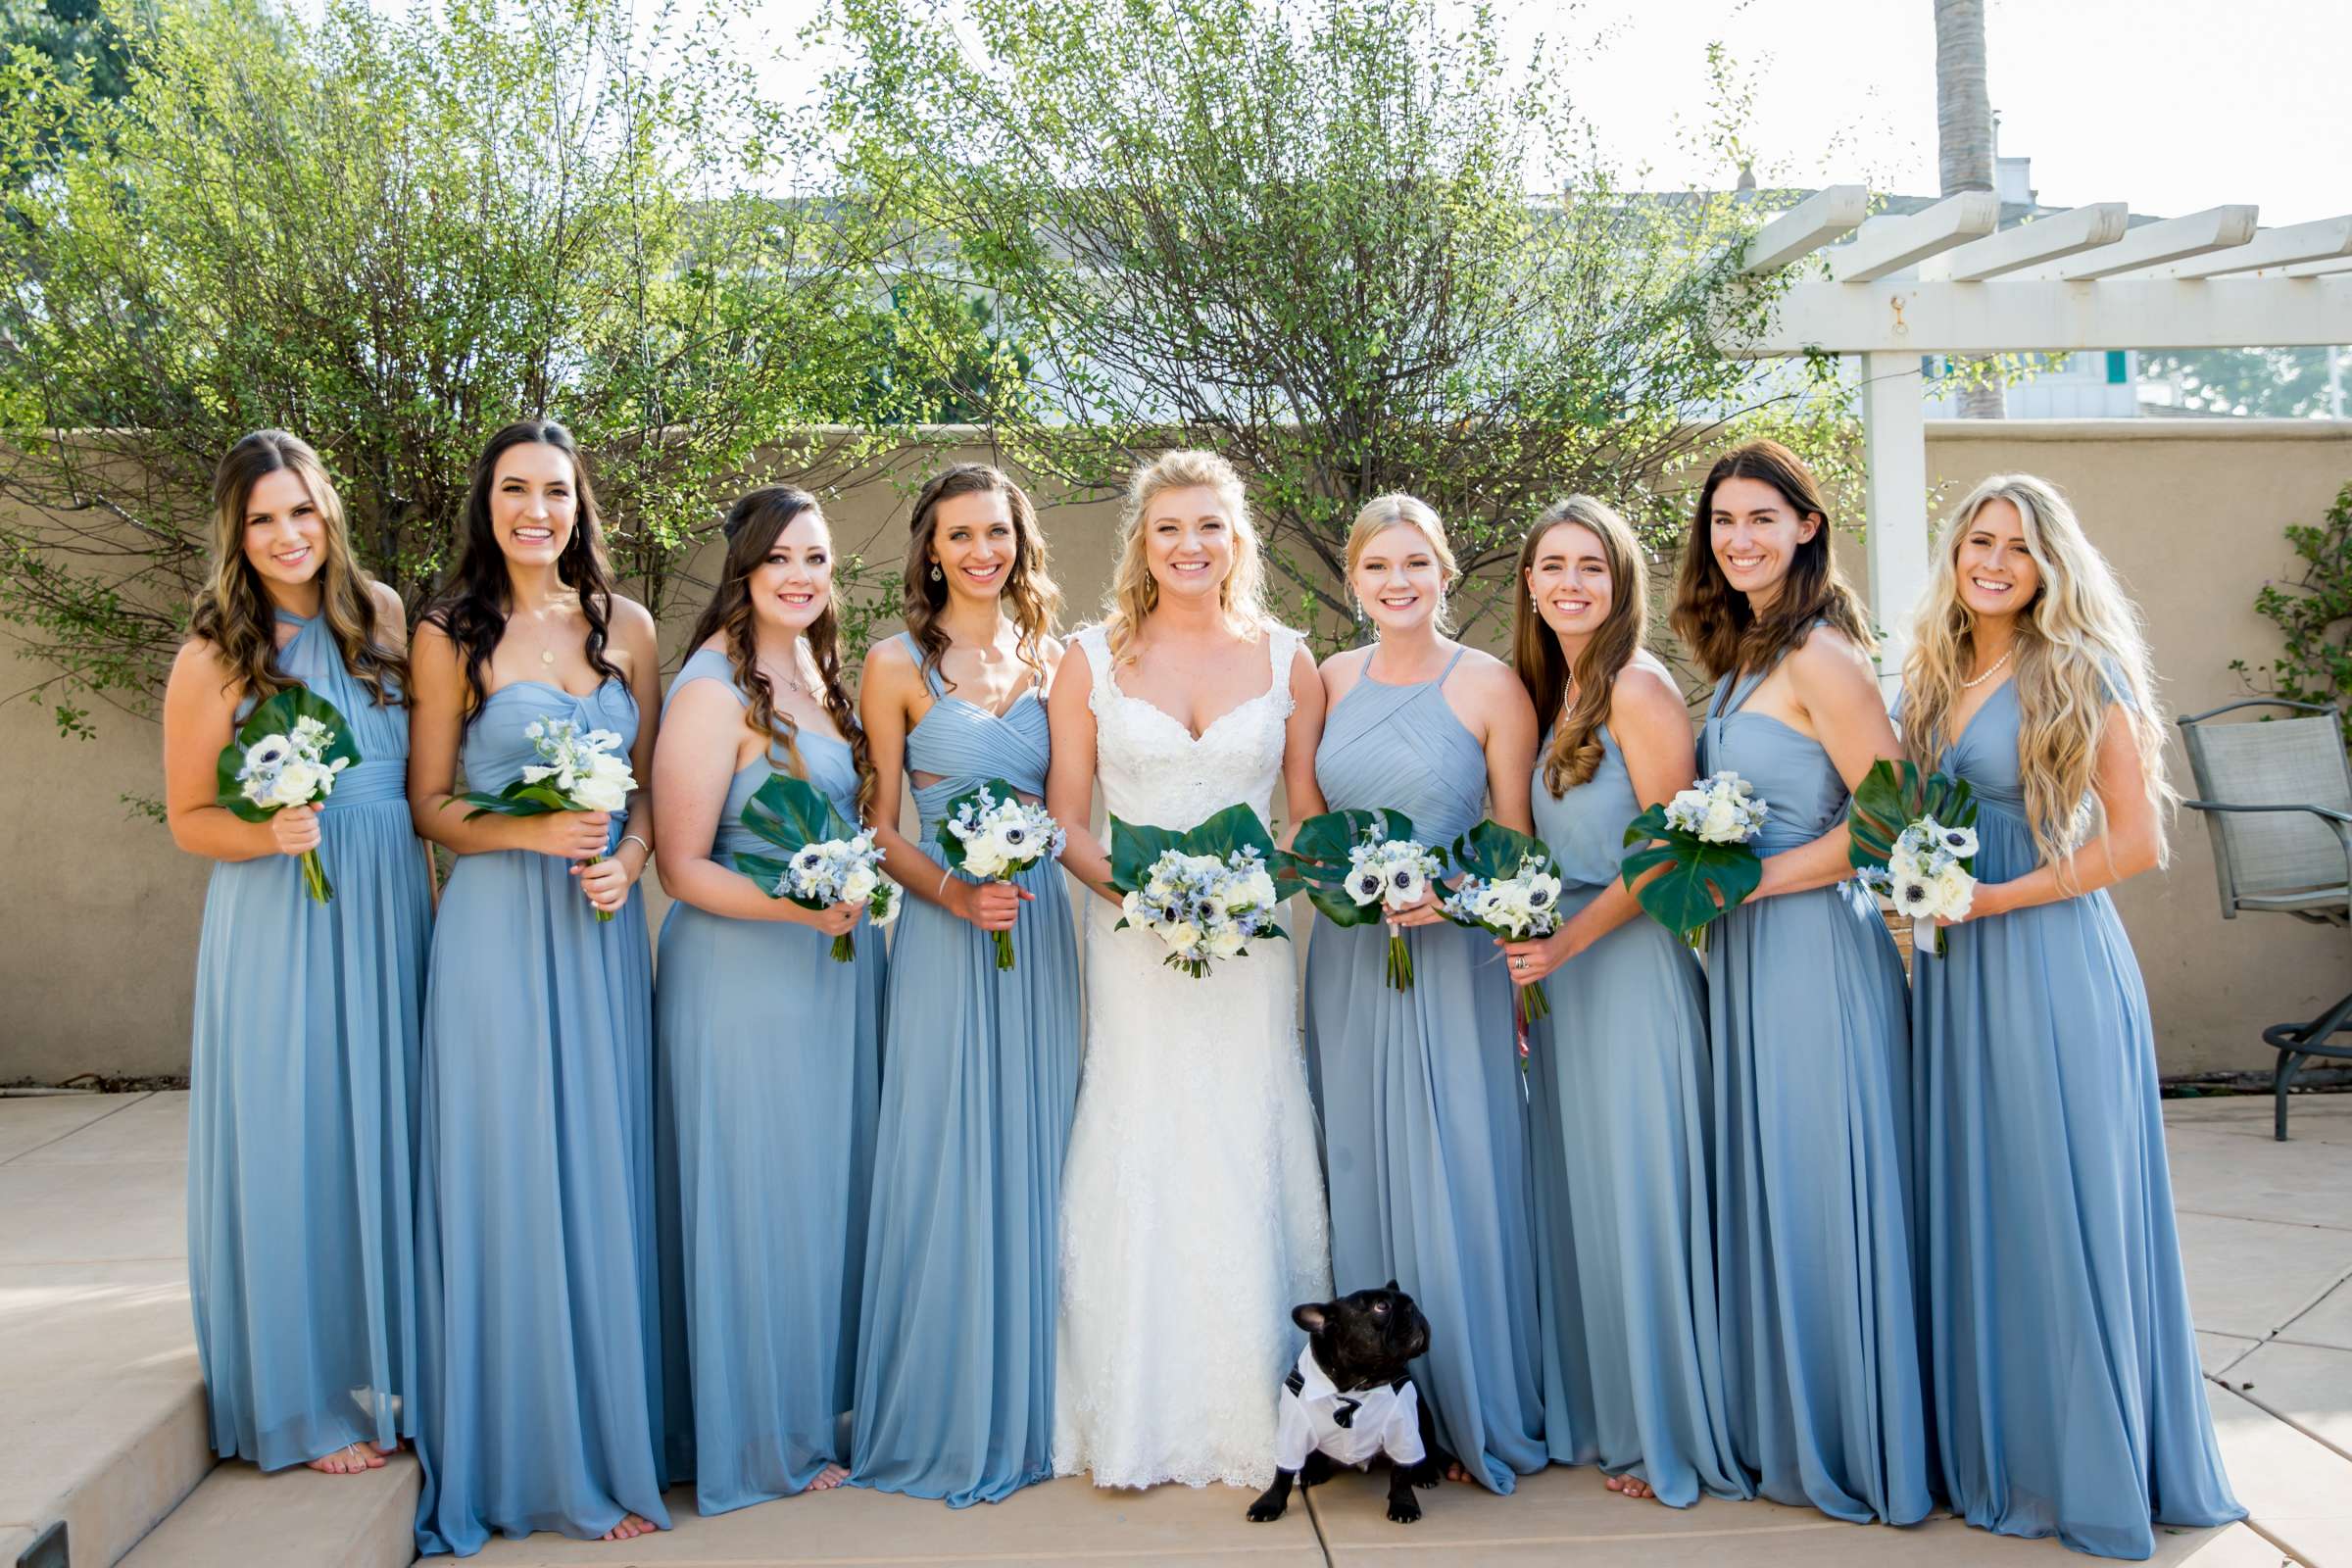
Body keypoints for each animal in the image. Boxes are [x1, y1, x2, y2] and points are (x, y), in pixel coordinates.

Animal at [1242, 1278, 1439, 1523]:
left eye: (1410, 1301)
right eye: (1381, 1306)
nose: (1414, 1309)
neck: (1354, 1384)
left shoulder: (1403, 1429)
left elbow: (1401, 1473)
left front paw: (1403, 1504)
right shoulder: (1292, 1427)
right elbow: (1283, 1473)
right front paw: (1270, 1503)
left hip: (1423, 1417)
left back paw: (1425, 1473)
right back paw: (1313, 1470)